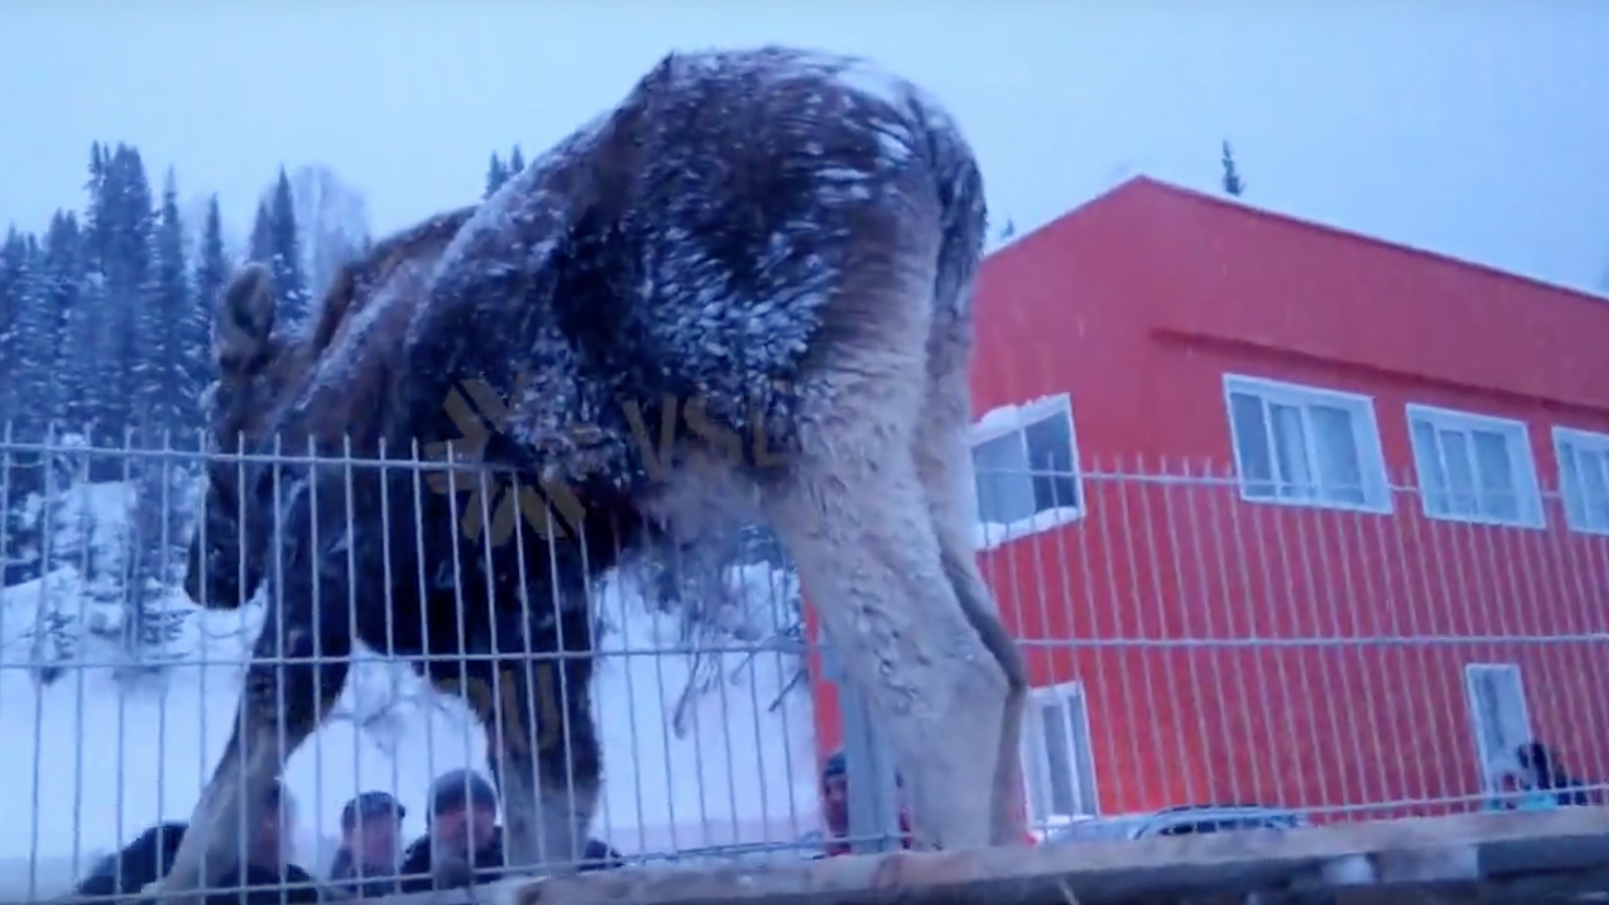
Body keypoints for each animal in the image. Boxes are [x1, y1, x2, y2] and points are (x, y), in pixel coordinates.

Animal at [163, 44, 1029, 901]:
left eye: (211, 436)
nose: (198, 572)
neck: (297, 414)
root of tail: (933, 141)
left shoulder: (319, 589)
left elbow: (230, 786)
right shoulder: (533, 623)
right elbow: (549, 808)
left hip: (807, 425)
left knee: (950, 673)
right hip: (929, 412)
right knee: (1007, 660)